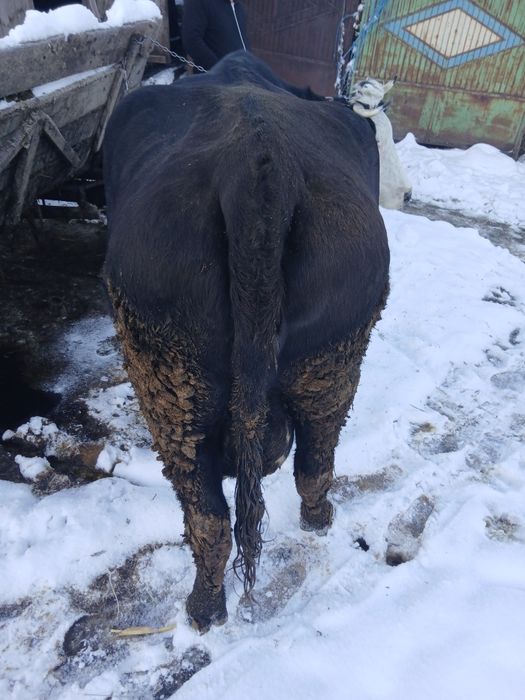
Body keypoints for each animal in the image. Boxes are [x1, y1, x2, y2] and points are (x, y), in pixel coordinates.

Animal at [103, 51, 397, 632]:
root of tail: (258, 162)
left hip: (172, 389)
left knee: (208, 515)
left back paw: (203, 608)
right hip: (333, 361)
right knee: (314, 463)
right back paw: (316, 523)